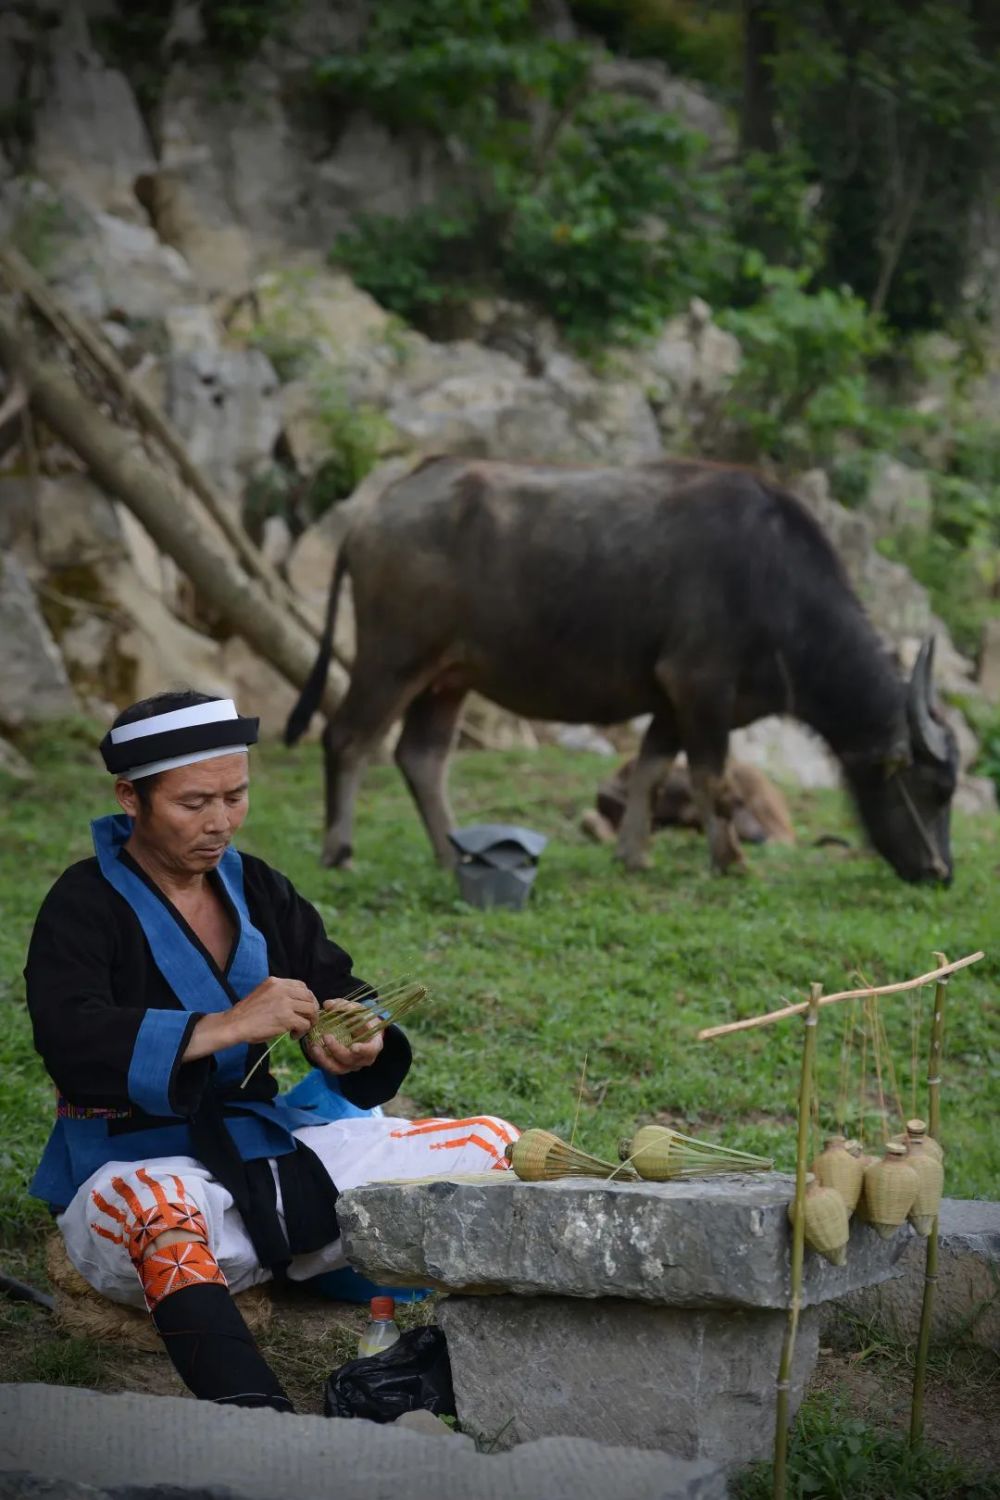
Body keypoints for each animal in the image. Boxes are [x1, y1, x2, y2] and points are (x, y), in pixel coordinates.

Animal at [284, 456, 959, 876]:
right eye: (936, 788)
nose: (941, 872)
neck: (779, 587)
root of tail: (373, 515)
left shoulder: (671, 700)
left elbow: (653, 771)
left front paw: (634, 854)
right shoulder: (701, 688)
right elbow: (713, 780)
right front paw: (731, 860)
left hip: (449, 678)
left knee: (420, 758)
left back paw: (453, 856)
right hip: (393, 659)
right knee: (346, 738)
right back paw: (340, 851)